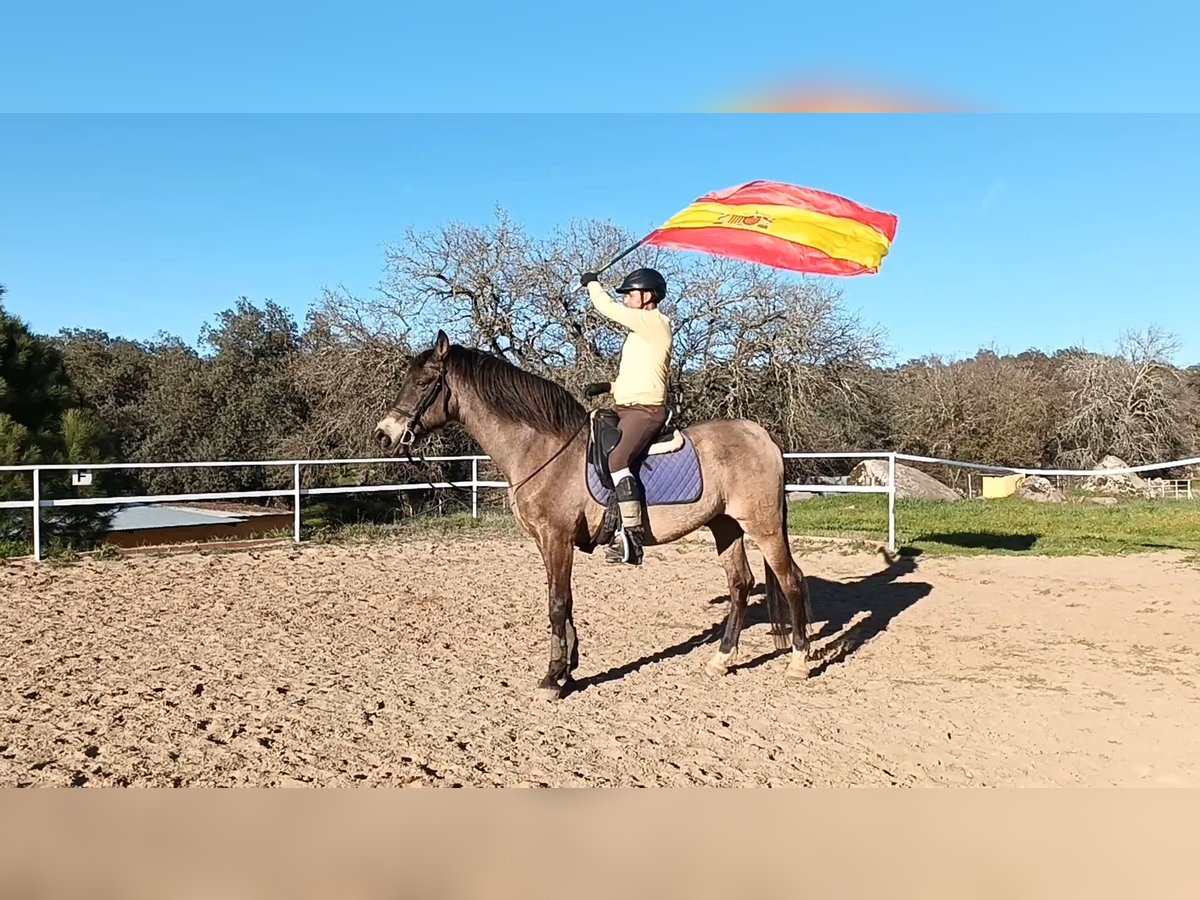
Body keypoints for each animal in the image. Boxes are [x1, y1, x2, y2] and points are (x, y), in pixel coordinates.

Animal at [369, 333, 811, 705]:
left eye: (424, 383)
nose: (384, 434)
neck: (544, 449)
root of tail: (762, 437)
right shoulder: (549, 543)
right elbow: (563, 602)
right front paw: (568, 668)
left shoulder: (556, 538)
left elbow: (557, 604)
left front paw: (552, 679)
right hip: (725, 525)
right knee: (740, 584)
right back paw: (721, 659)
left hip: (763, 525)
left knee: (791, 580)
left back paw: (798, 662)